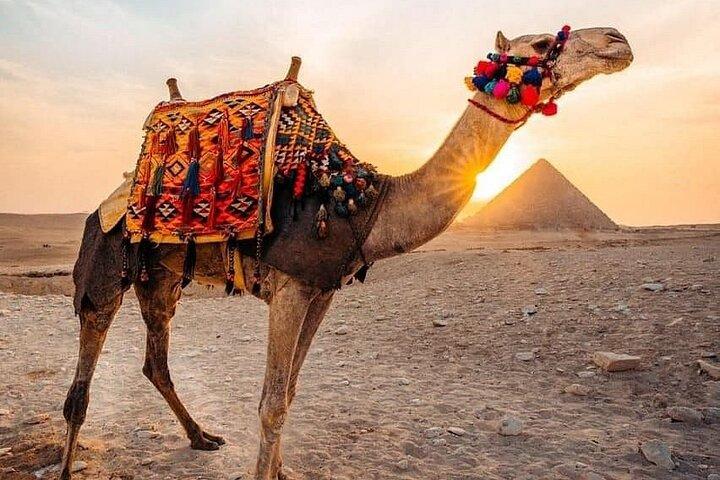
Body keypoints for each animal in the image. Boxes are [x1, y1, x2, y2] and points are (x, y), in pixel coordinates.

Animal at [60, 26, 633, 479]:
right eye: (540, 42)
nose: (617, 40)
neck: (365, 202)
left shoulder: (321, 290)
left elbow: (289, 393)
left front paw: (281, 470)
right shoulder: (290, 286)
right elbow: (271, 403)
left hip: (159, 276)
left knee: (155, 360)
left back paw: (202, 438)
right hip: (104, 259)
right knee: (82, 382)